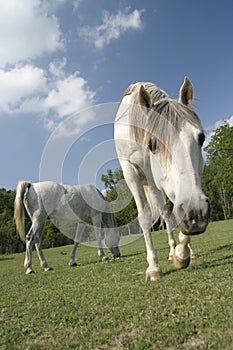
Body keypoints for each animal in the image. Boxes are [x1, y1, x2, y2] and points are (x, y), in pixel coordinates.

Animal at [114, 78, 209, 280]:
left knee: (167, 213)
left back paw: (181, 252)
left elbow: (176, 211)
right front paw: (153, 267)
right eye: (152, 144)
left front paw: (181, 254)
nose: (197, 214)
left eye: (202, 138)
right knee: (163, 212)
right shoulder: (131, 173)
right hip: (150, 182)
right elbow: (144, 218)